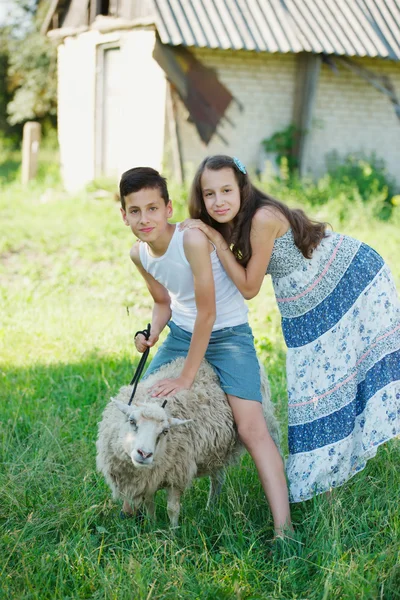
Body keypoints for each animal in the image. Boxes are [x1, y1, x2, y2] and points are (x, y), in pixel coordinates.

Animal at [95, 356, 280, 524]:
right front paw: (152, 526)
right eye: (132, 421)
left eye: (165, 431)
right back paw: (211, 507)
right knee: (217, 478)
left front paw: (173, 533)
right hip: (217, 449)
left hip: (266, 422)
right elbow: (149, 505)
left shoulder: (178, 473)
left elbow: (172, 509)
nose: (144, 454)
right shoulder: (147, 480)